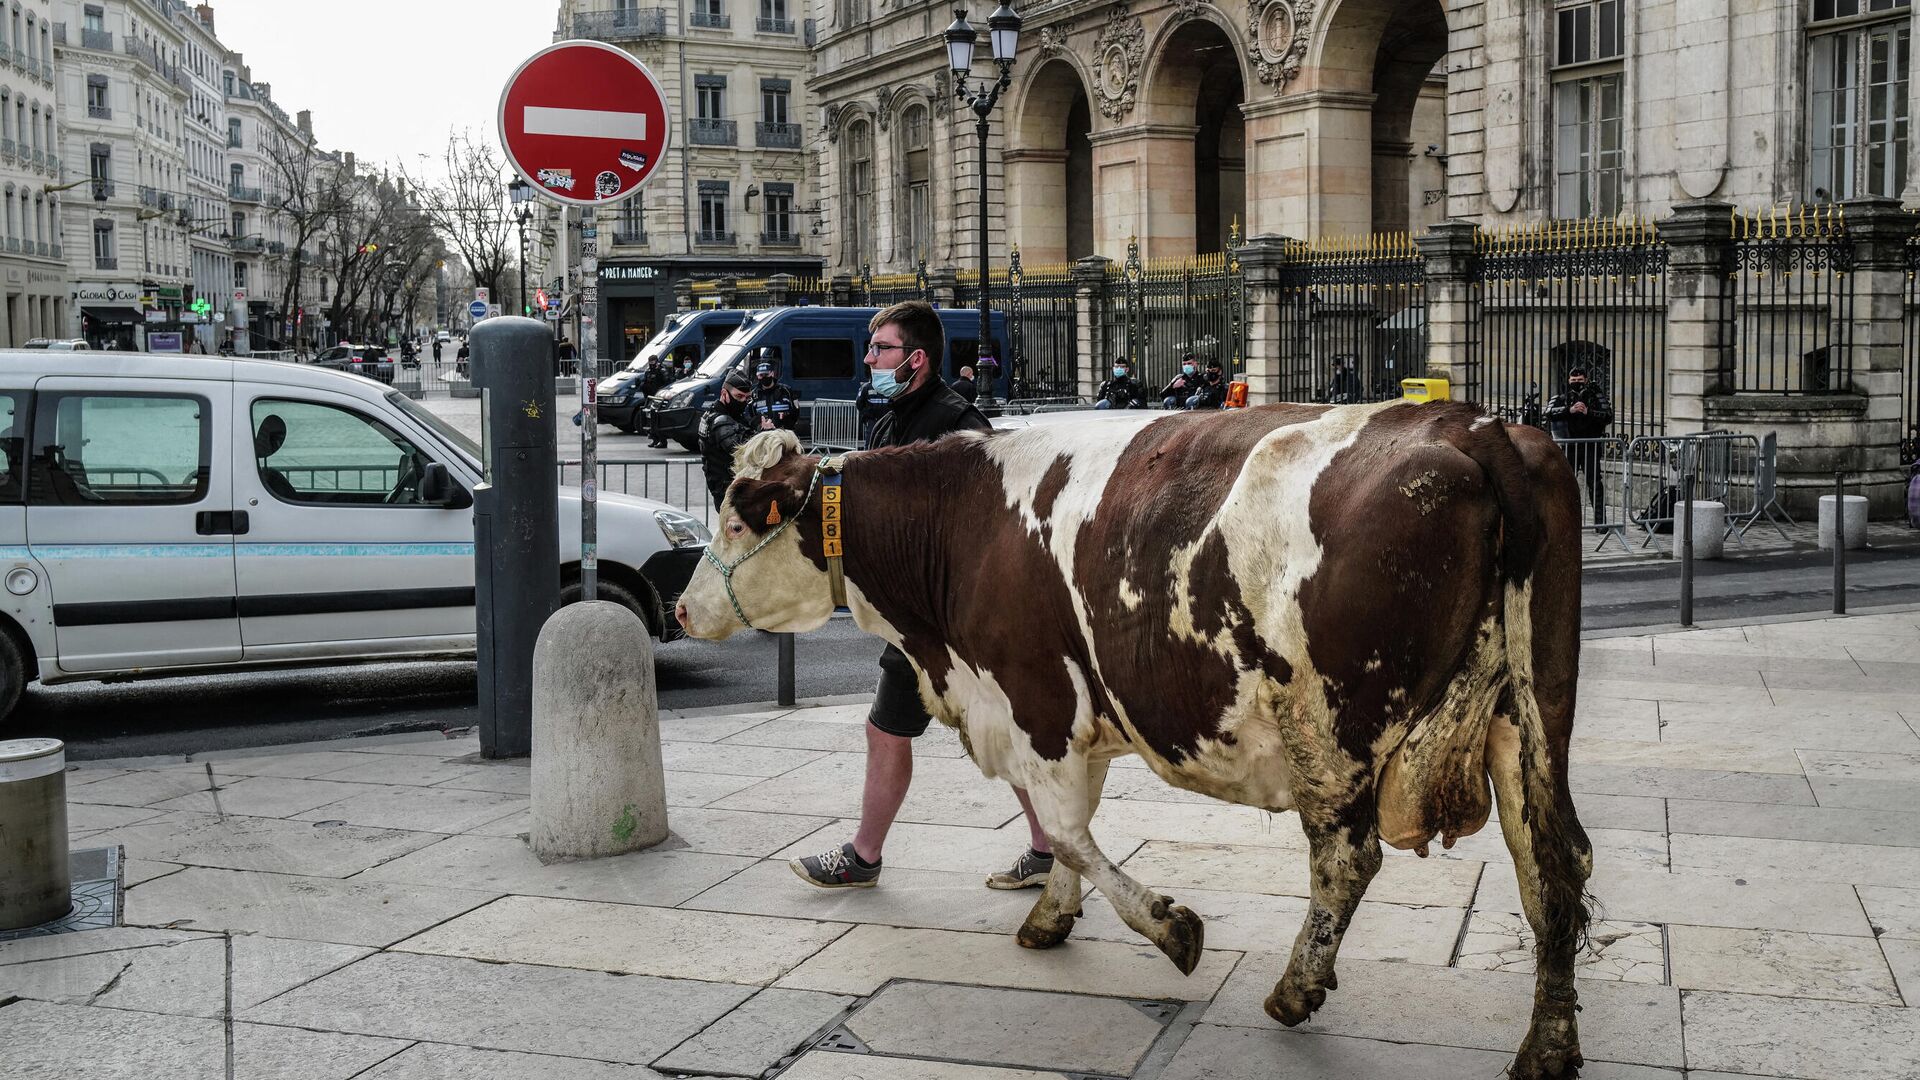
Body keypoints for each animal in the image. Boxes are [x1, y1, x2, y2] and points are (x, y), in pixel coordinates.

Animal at [683, 399, 1597, 1068]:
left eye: (736, 523)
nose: (684, 610)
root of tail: (1471, 425)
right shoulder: (1063, 719)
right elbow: (1067, 832)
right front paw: (1050, 917)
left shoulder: (1039, 700)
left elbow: (1070, 833)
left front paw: (1171, 928)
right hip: (1532, 715)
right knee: (1553, 863)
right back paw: (1548, 1045)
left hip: (1329, 725)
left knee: (1348, 859)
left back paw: (1294, 990)